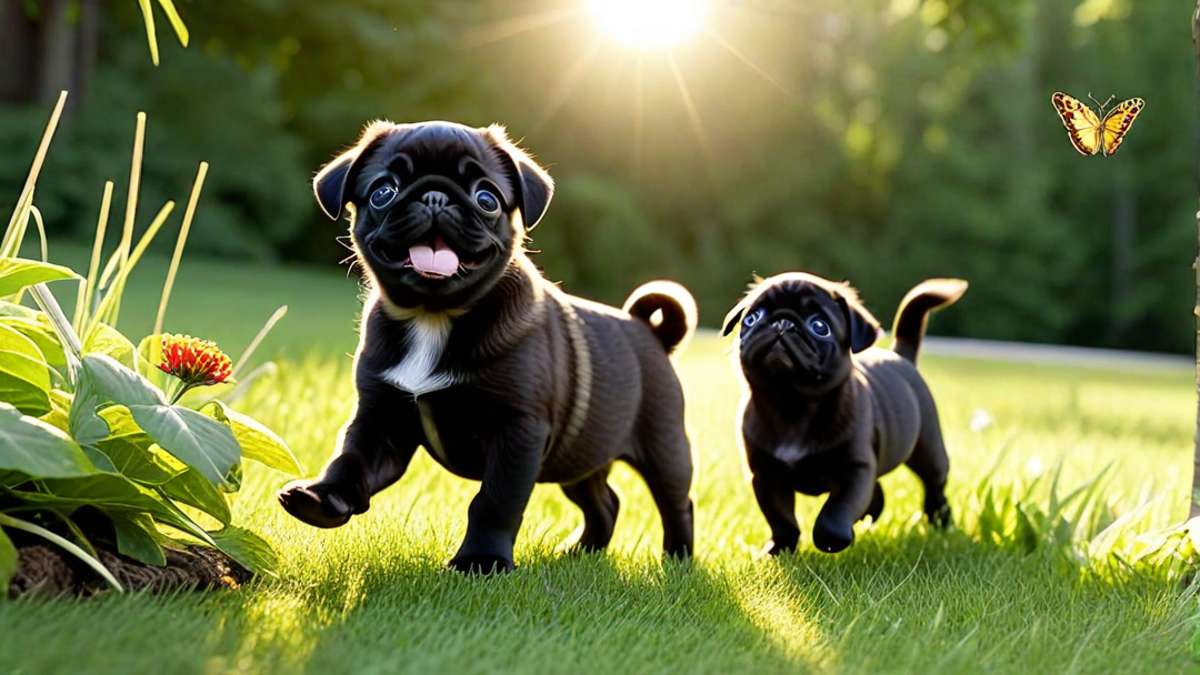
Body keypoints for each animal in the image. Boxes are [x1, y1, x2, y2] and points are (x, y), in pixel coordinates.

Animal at [276, 118, 700, 569]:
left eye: (486, 199)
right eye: (383, 191)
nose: (435, 196)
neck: (434, 316)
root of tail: (648, 329)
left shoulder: (518, 431)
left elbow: (496, 500)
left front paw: (481, 560)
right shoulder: (382, 418)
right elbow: (351, 458)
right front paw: (322, 499)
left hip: (664, 446)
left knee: (676, 502)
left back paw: (677, 561)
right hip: (580, 455)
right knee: (604, 501)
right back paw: (580, 551)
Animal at [720, 271, 964, 552]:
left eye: (820, 327)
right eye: (752, 318)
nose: (782, 323)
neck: (791, 403)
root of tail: (900, 356)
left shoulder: (856, 468)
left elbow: (835, 510)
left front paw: (831, 540)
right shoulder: (766, 475)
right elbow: (781, 519)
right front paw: (779, 549)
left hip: (928, 452)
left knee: (934, 486)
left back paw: (941, 523)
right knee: (877, 493)